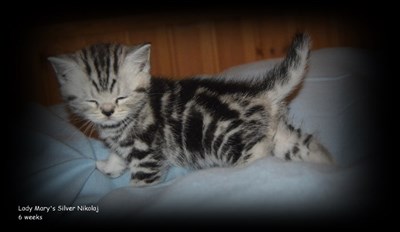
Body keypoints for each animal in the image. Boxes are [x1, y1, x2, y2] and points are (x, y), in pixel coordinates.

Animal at [48, 33, 332, 187]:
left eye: (121, 97)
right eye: (92, 101)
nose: (107, 111)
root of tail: (261, 93)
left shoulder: (149, 152)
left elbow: (141, 182)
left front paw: (129, 191)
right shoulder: (123, 142)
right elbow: (118, 154)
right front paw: (108, 166)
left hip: (226, 136)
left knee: (260, 154)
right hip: (282, 137)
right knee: (305, 147)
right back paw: (330, 166)